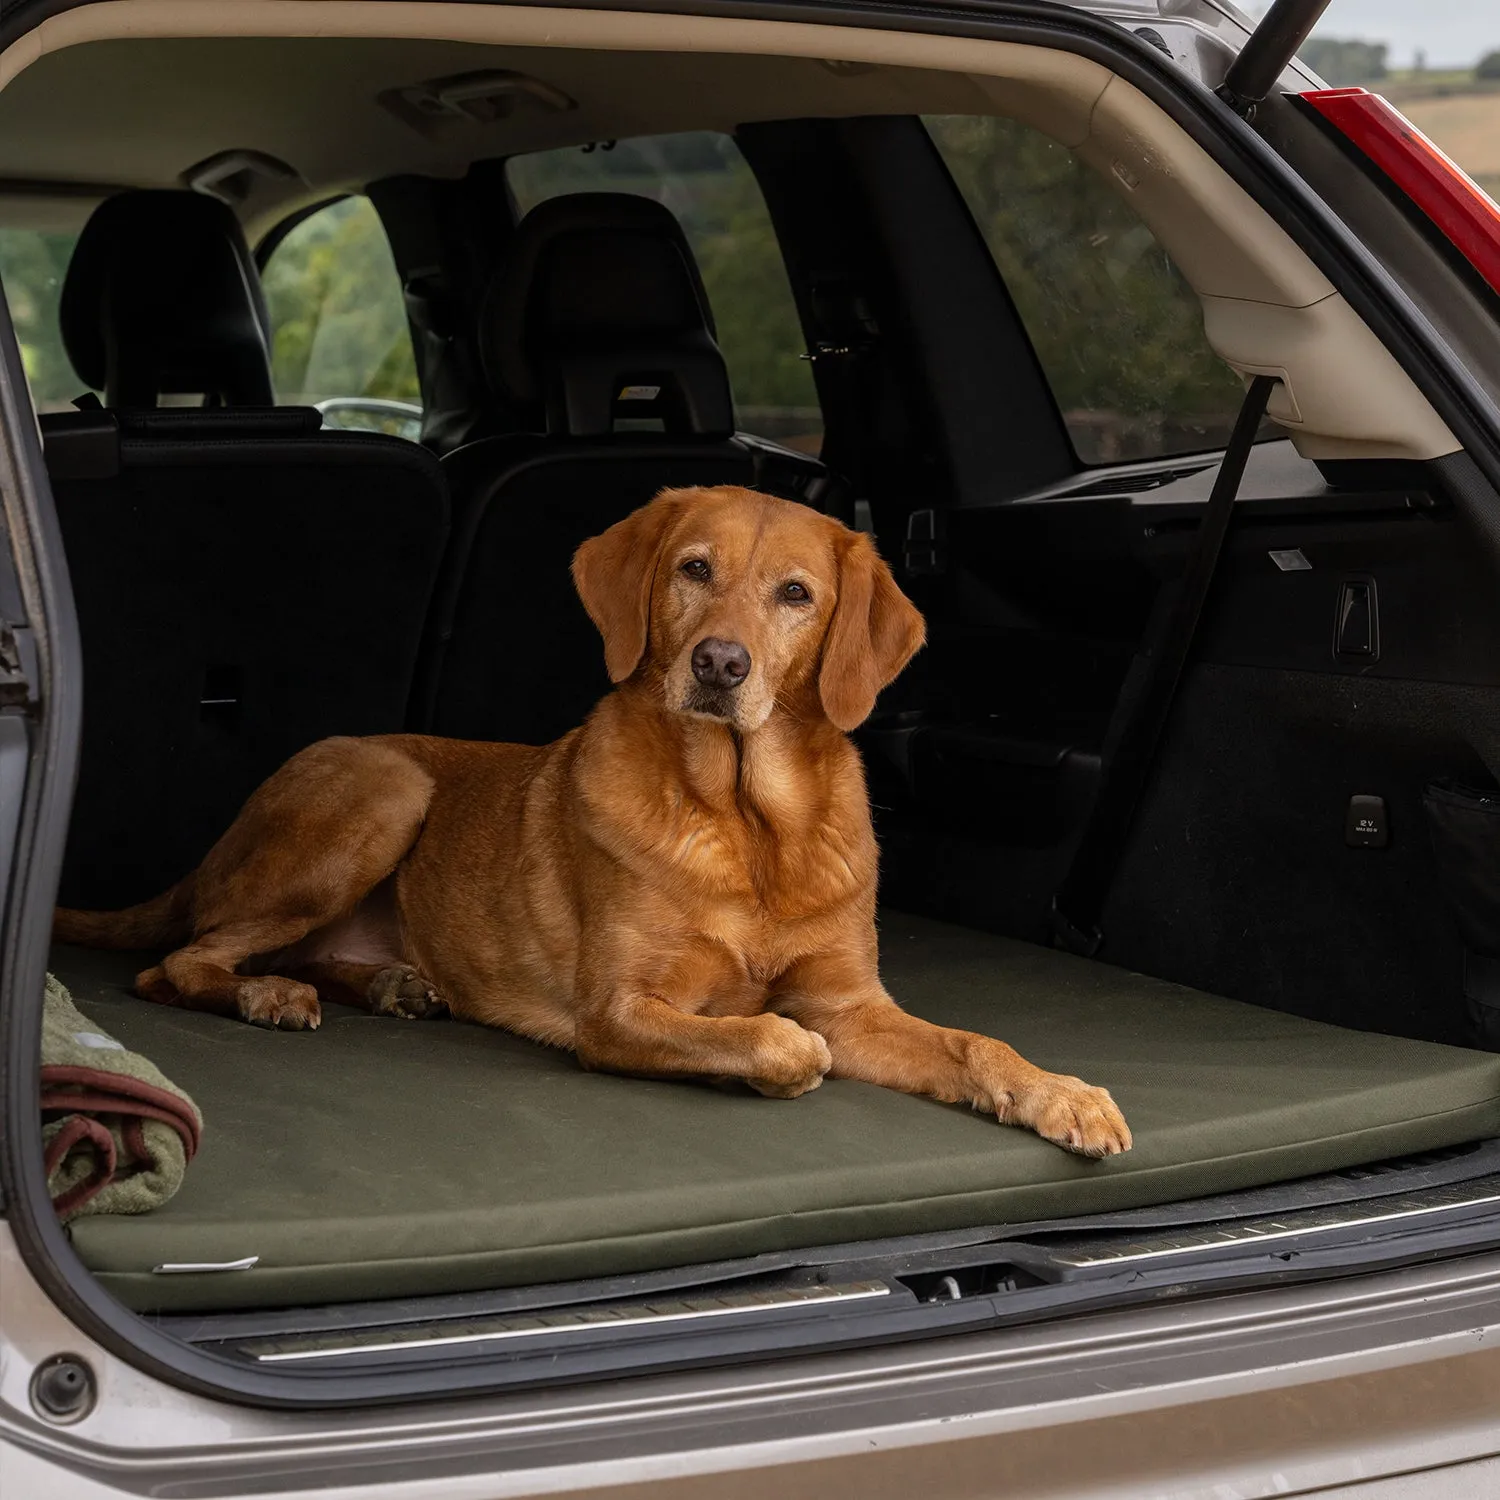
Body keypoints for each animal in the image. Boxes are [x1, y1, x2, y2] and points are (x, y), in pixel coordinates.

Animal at [55, 486, 1134, 1152]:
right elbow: (773, 1040)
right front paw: (779, 1056)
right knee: (178, 963)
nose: (720, 664)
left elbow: (974, 1044)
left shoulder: (853, 1005)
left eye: (796, 595)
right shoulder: (619, 1013)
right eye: (694, 570)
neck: (748, 823)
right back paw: (265, 995)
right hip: (384, 790)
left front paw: (1061, 1092)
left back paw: (391, 983)